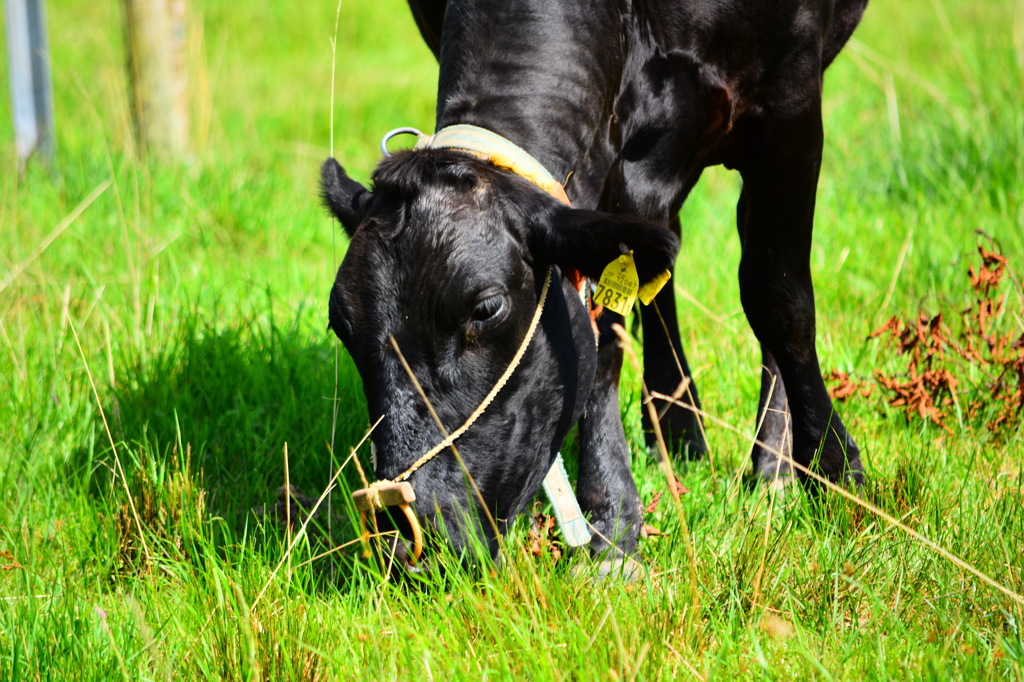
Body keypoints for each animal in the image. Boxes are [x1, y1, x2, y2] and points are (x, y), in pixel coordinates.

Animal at [319, 0, 864, 561]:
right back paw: (677, 428)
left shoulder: (789, 97)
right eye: (342, 327)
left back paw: (774, 462)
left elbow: (778, 299)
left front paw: (834, 471)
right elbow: (606, 333)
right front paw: (613, 520)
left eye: (487, 308)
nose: (406, 534)